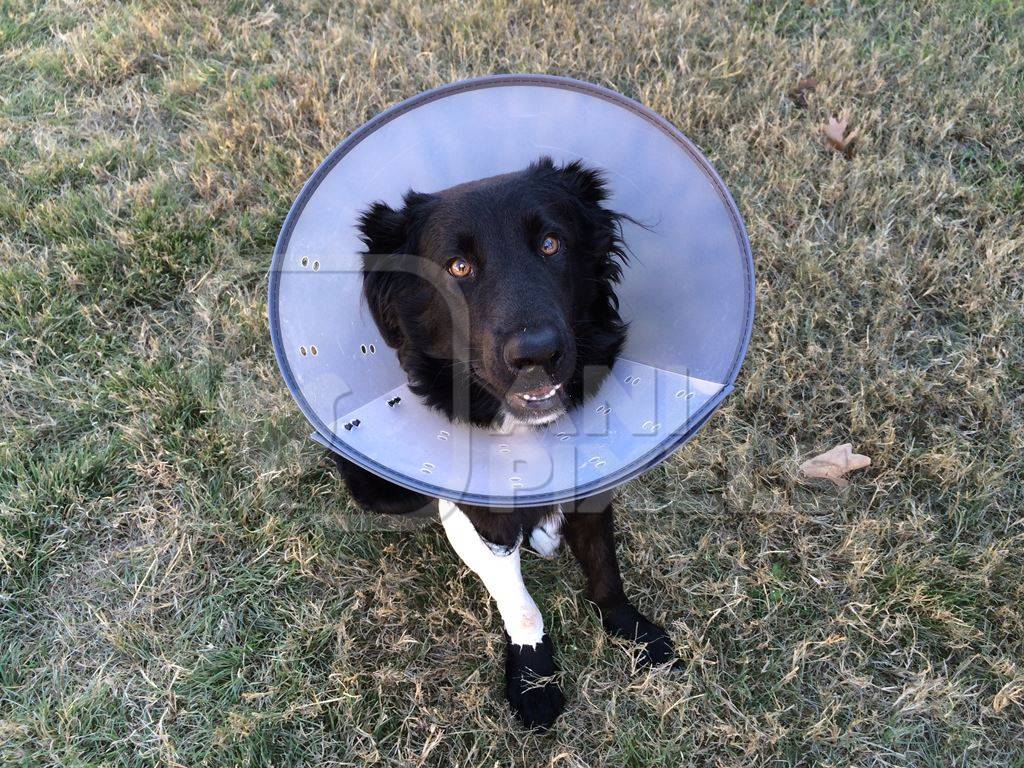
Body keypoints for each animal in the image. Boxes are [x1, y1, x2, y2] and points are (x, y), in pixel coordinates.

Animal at [331, 156, 675, 729]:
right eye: (458, 267)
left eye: (551, 244)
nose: (536, 354)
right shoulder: (484, 517)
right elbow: (518, 600)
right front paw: (534, 677)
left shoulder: (595, 479)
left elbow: (605, 564)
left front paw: (630, 629)